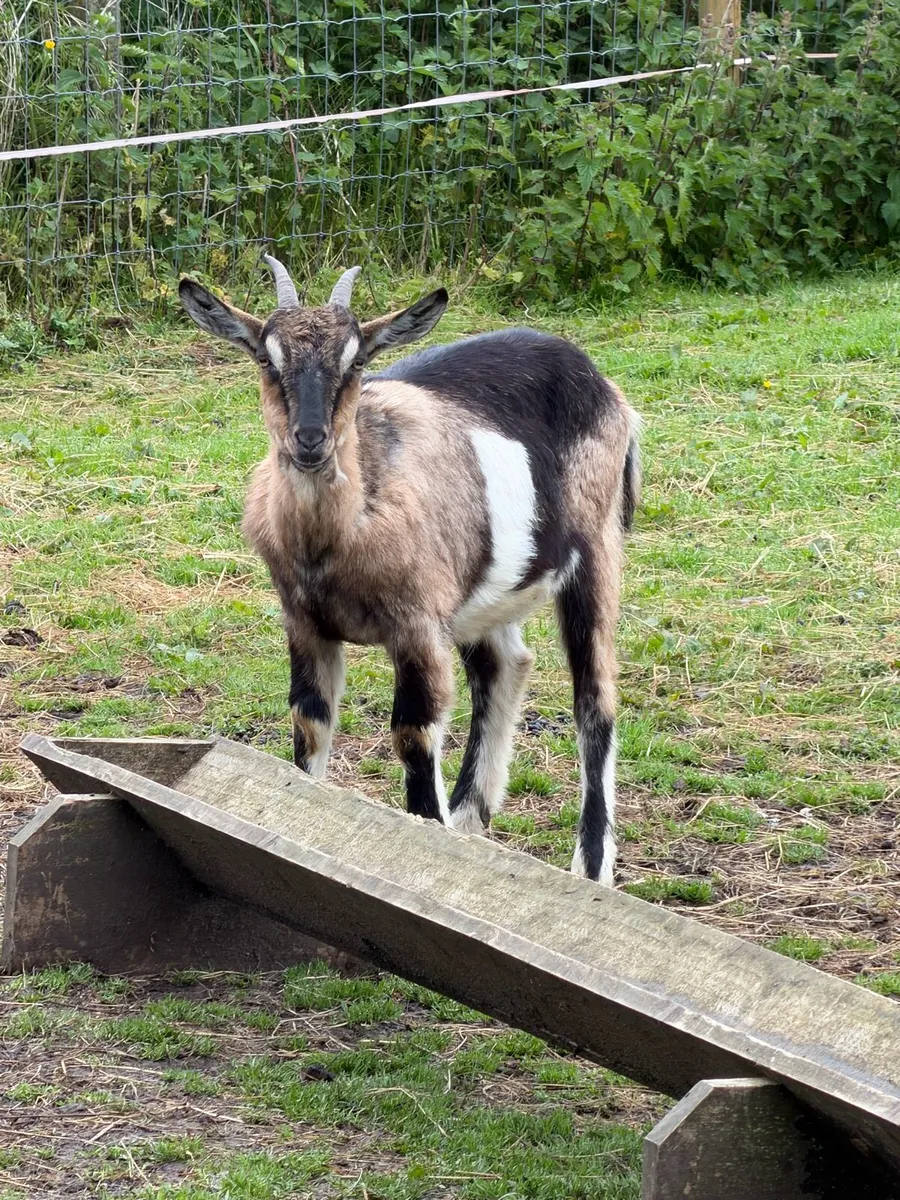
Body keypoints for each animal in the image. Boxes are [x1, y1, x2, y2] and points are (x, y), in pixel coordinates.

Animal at [179, 257, 640, 884]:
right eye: (267, 359)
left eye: (355, 362)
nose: (310, 440)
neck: (337, 540)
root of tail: (600, 382)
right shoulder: (305, 623)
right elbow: (309, 724)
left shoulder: (417, 626)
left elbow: (414, 736)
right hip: (482, 595)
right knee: (505, 666)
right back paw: (469, 820)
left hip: (595, 551)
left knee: (595, 701)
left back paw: (590, 868)